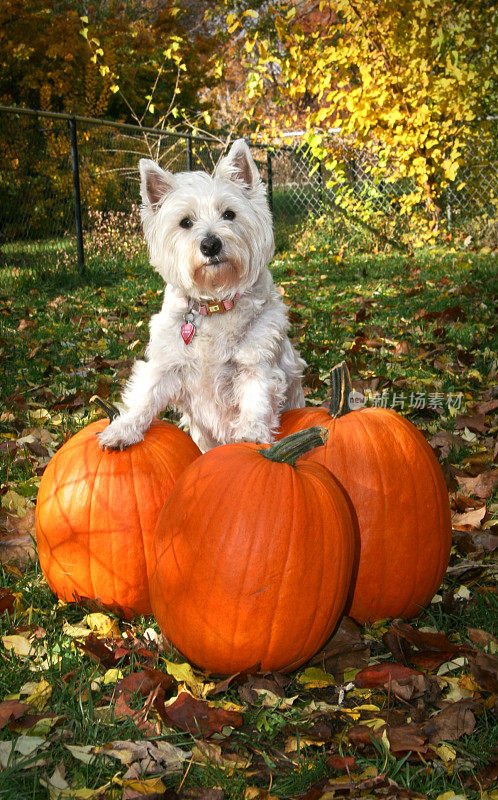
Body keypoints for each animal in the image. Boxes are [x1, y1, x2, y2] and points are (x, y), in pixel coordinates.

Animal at [98, 137, 306, 450]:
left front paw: (251, 434)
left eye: (229, 214)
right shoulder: (167, 361)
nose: (210, 245)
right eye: (185, 222)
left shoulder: (257, 362)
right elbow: (145, 395)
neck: (215, 304)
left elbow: (255, 397)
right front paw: (122, 429)